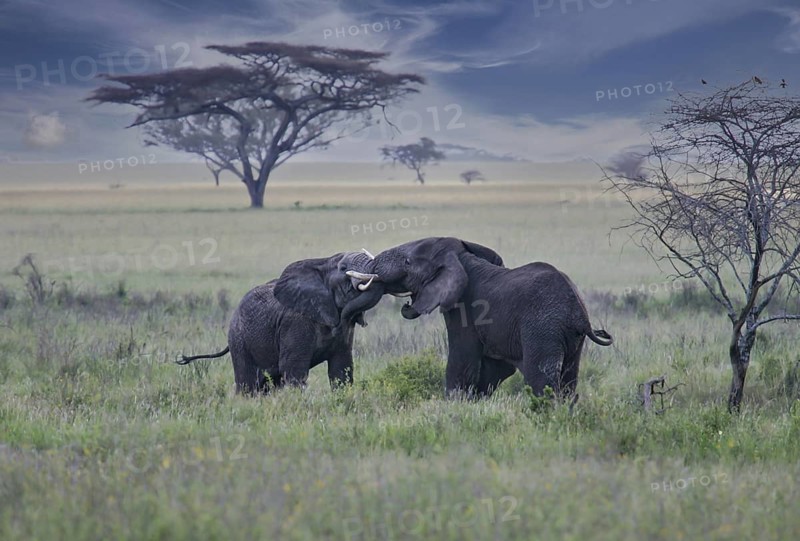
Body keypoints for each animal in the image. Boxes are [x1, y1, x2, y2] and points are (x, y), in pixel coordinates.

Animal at [177, 250, 384, 394]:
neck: (323, 262)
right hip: (238, 339)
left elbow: (341, 368)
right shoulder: (295, 322)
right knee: (247, 383)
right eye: (343, 268)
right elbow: (294, 368)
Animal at [345, 237, 613, 399]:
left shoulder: (464, 309)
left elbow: (462, 359)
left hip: (543, 327)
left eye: (408, 262)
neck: (462, 258)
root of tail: (579, 313)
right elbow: (495, 368)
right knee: (568, 379)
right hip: (571, 338)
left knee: (541, 379)